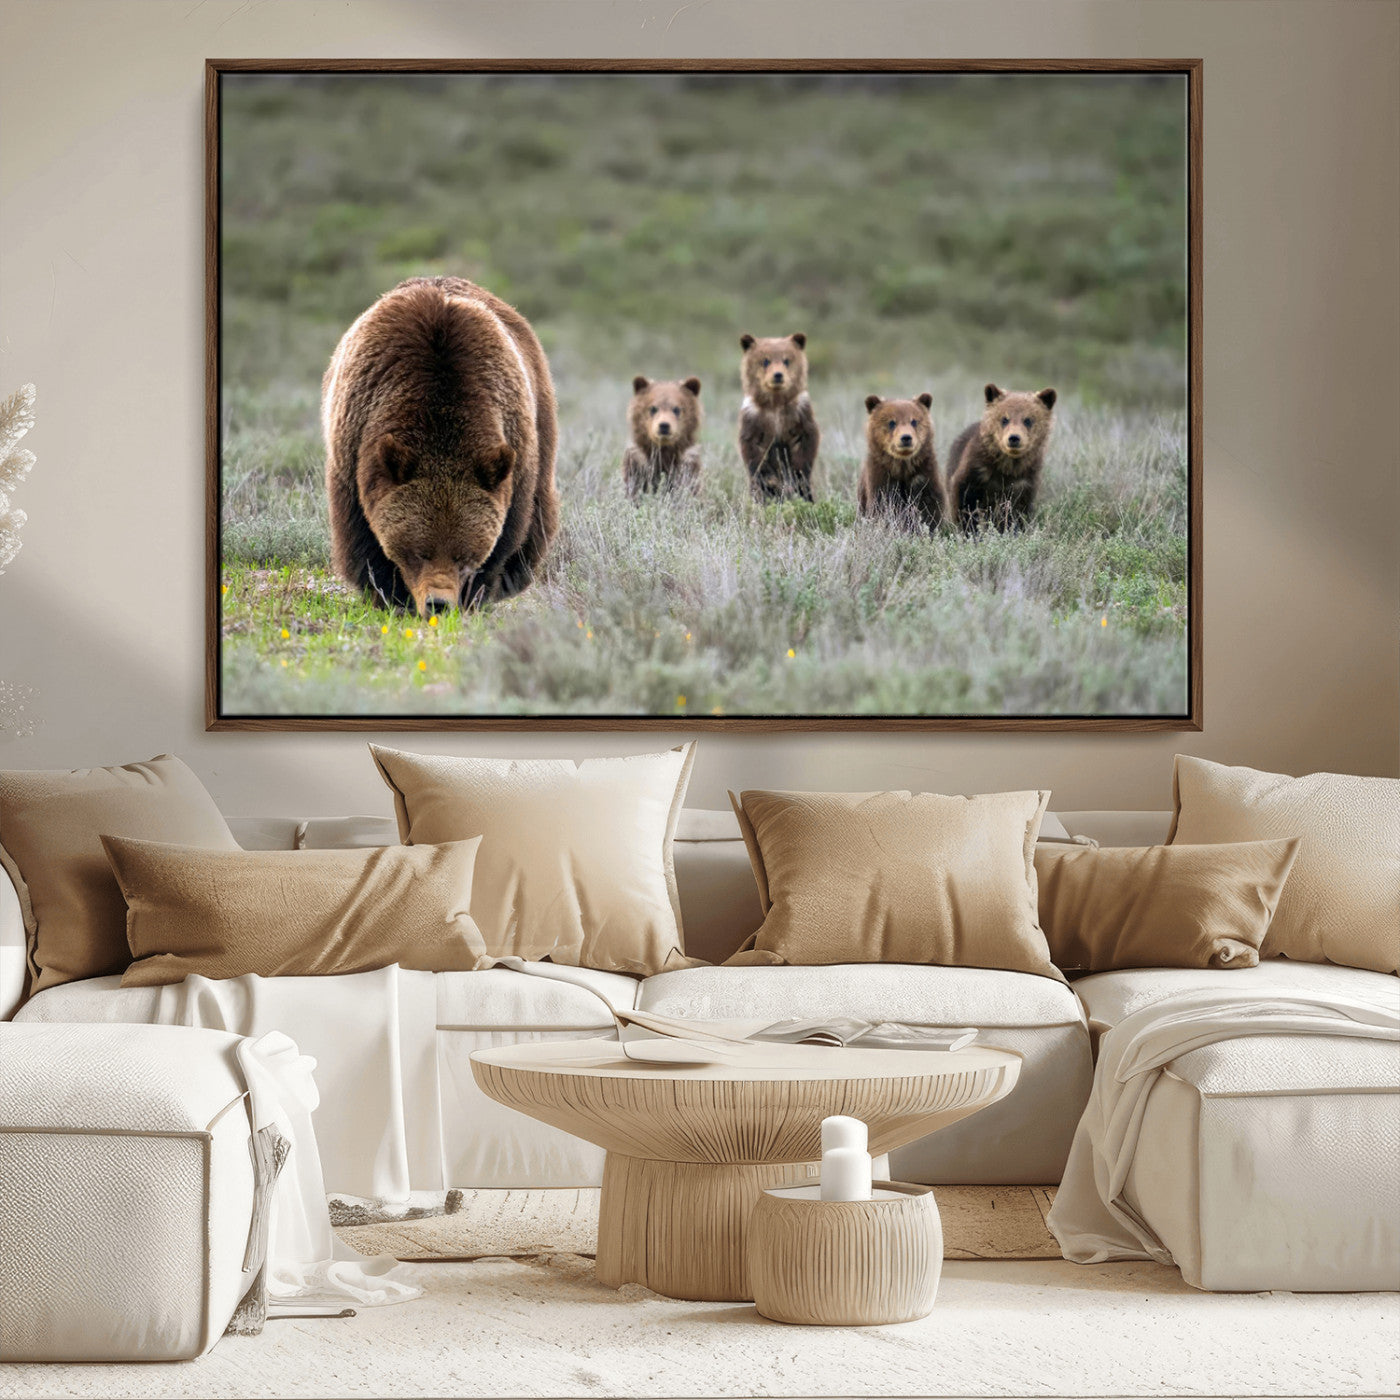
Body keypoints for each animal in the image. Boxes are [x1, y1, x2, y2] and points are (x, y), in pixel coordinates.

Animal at [323, 275, 559, 616]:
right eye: (419, 551)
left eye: (464, 555)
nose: (439, 603)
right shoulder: (354, 447)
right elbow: (361, 536)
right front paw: (389, 595)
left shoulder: (514, 450)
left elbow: (507, 535)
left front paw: (475, 595)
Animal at [736, 332, 820, 501]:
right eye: (765, 360)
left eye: (786, 360)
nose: (778, 375)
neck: (775, 405)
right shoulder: (754, 419)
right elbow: (754, 453)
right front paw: (771, 483)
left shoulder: (799, 414)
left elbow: (805, 446)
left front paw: (796, 479)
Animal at [857, 393, 948, 530]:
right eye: (891, 422)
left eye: (914, 421)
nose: (906, 437)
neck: (902, 466)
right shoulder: (880, 478)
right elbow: (882, 506)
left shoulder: (924, 475)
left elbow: (929, 507)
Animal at [945, 384, 1057, 532]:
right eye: (1004, 419)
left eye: (1028, 420)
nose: (1014, 438)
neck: (1007, 467)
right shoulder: (976, 471)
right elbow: (964, 501)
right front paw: (969, 529)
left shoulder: (1024, 480)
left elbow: (1018, 511)